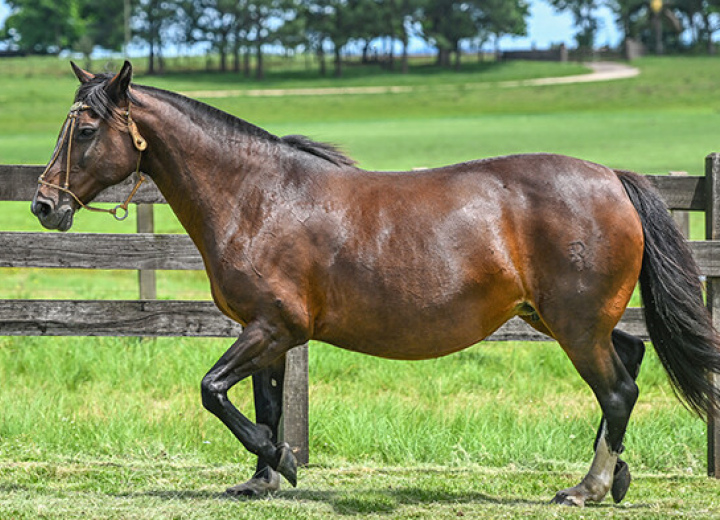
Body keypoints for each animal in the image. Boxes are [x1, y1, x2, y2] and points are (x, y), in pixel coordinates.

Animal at [31, 60, 720, 504]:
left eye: (85, 130)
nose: (44, 206)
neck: (258, 198)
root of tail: (612, 178)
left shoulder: (274, 327)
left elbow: (213, 391)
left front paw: (283, 462)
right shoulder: (268, 333)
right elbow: (263, 403)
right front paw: (261, 479)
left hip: (575, 324)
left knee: (619, 389)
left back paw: (589, 487)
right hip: (561, 318)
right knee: (629, 356)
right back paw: (617, 477)